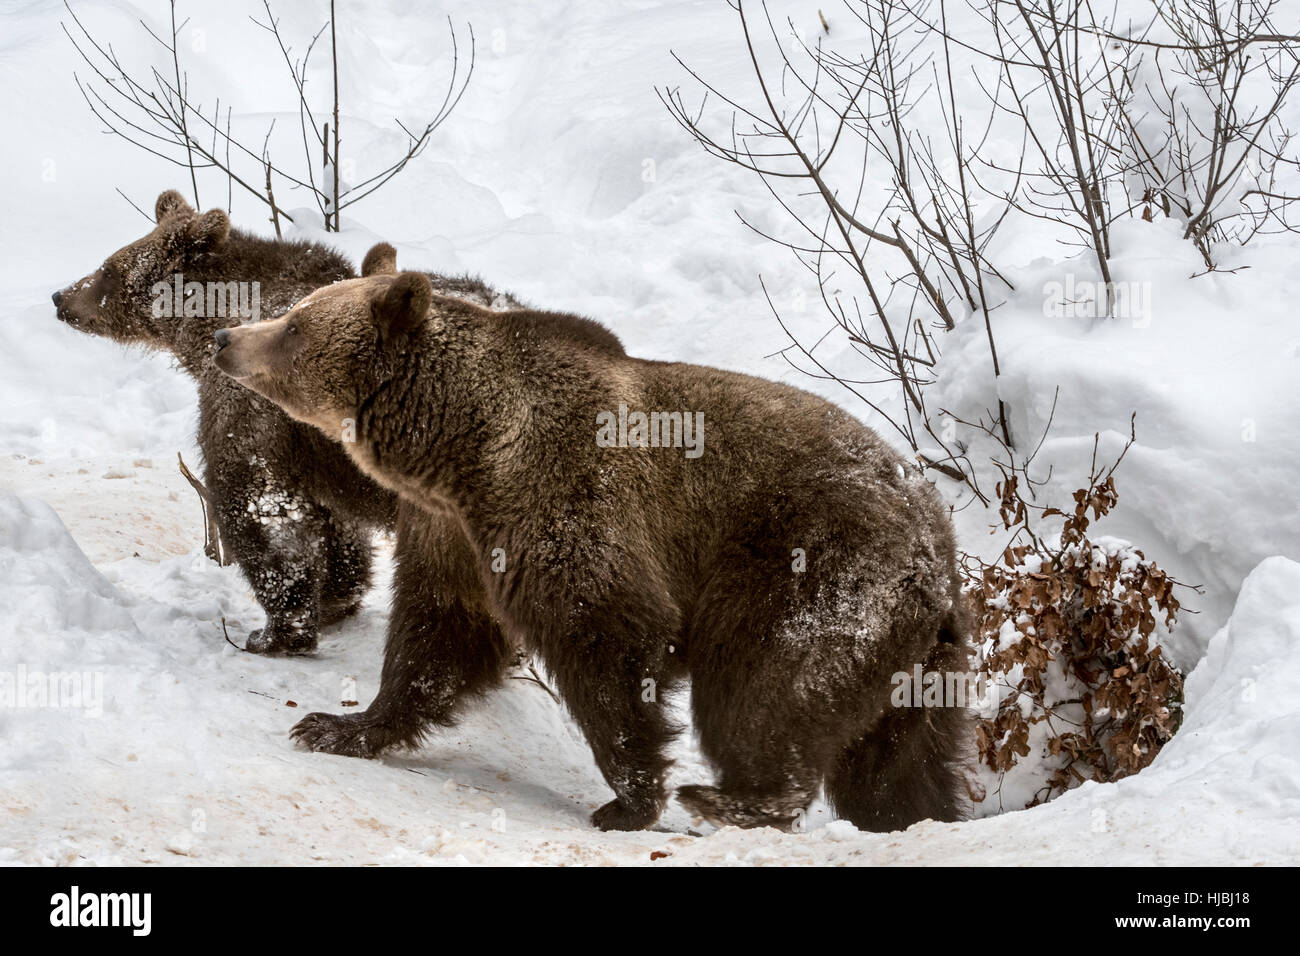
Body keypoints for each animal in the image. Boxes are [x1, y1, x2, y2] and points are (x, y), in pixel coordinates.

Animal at [50, 191, 530, 654]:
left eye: (109, 270)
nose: (61, 296)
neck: (210, 325)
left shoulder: (252, 407)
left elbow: (260, 506)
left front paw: (276, 631)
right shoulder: (315, 448)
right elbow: (334, 521)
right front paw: (336, 596)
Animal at [212, 255, 971, 832]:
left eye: (294, 324)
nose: (226, 335)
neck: (462, 450)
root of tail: (935, 539)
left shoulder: (562, 497)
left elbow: (604, 631)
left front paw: (630, 798)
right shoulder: (454, 535)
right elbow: (437, 636)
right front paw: (338, 727)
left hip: (813, 571)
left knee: (768, 687)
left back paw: (733, 797)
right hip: (916, 659)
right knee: (899, 759)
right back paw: (907, 817)